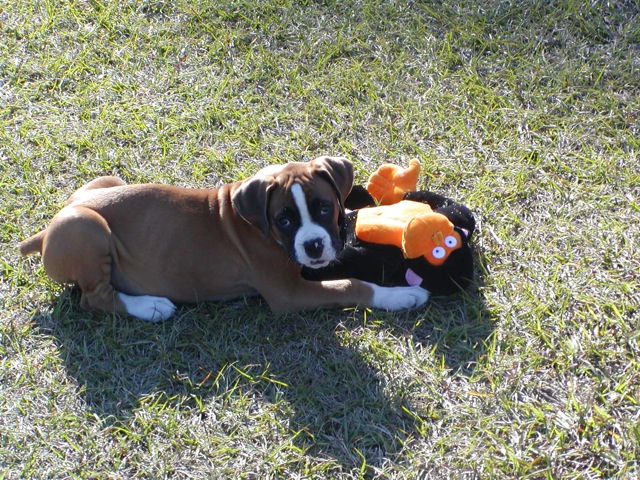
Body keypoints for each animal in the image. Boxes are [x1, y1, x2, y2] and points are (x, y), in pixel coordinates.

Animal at [21, 158, 430, 320]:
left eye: (324, 207)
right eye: (284, 219)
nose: (313, 246)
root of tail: (46, 229)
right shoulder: (289, 294)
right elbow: (352, 284)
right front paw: (401, 295)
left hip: (105, 184)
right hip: (86, 227)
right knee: (94, 298)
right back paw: (150, 307)